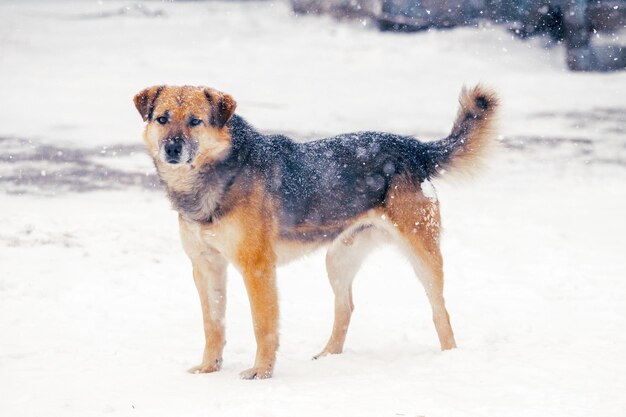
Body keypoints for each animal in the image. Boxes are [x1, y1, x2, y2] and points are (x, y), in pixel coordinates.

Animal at [133, 83, 498, 376]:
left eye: (195, 121)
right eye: (163, 119)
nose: (172, 148)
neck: (219, 174)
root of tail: (411, 147)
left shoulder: (257, 268)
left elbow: (263, 326)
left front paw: (261, 373)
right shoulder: (205, 266)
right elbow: (213, 325)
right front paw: (209, 368)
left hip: (423, 255)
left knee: (440, 311)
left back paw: (450, 358)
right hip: (337, 259)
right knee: (346, 308)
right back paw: (328, 356)